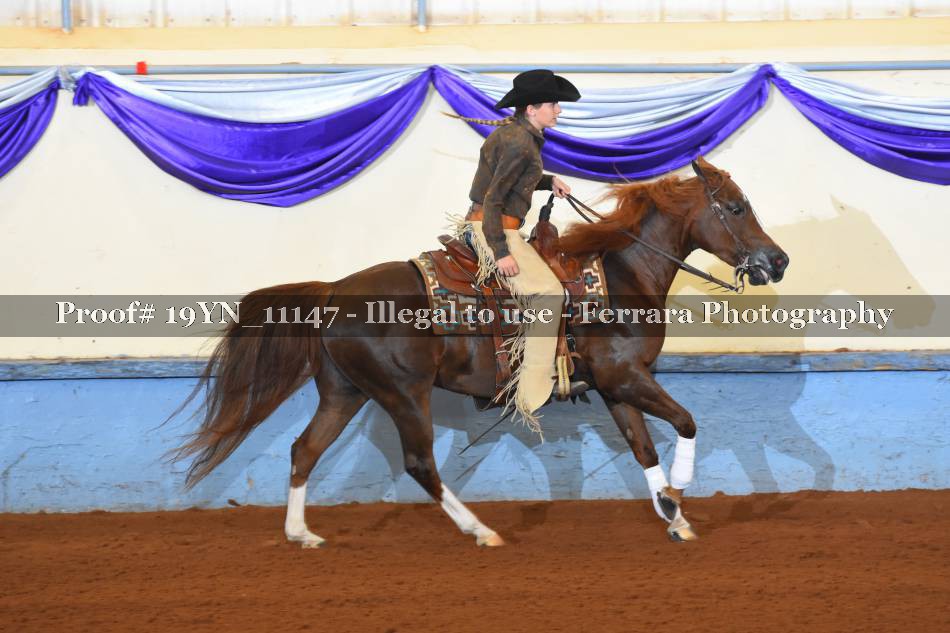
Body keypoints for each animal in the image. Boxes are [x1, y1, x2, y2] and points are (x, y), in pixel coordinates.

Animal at [171, 157, 788, 547]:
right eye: (736, 208)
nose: (778, 261)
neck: (621, 274)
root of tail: (332, 292)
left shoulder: (619, 385)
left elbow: (643, 448)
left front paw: (673, 516)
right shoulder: (625, 377)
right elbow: (685, 423)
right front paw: (678, 498)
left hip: (345, 392)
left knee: (305, 450)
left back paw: (301, 534)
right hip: (403, 393)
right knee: (419, 463)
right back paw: (481, 531)